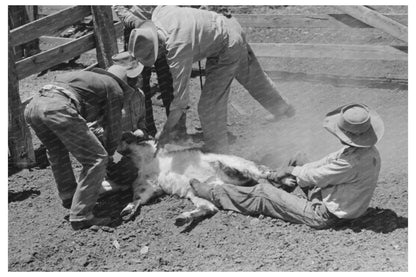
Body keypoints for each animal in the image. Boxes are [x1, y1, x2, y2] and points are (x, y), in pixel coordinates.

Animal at [114, 129, 292, 224]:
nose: (122, 135)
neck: (146, 161)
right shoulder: (146, 184)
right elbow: (139, 197)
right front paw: (128, 209)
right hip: (197, 193)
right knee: (209, 207)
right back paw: (183, 218)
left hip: (243, 164)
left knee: (262, 172)